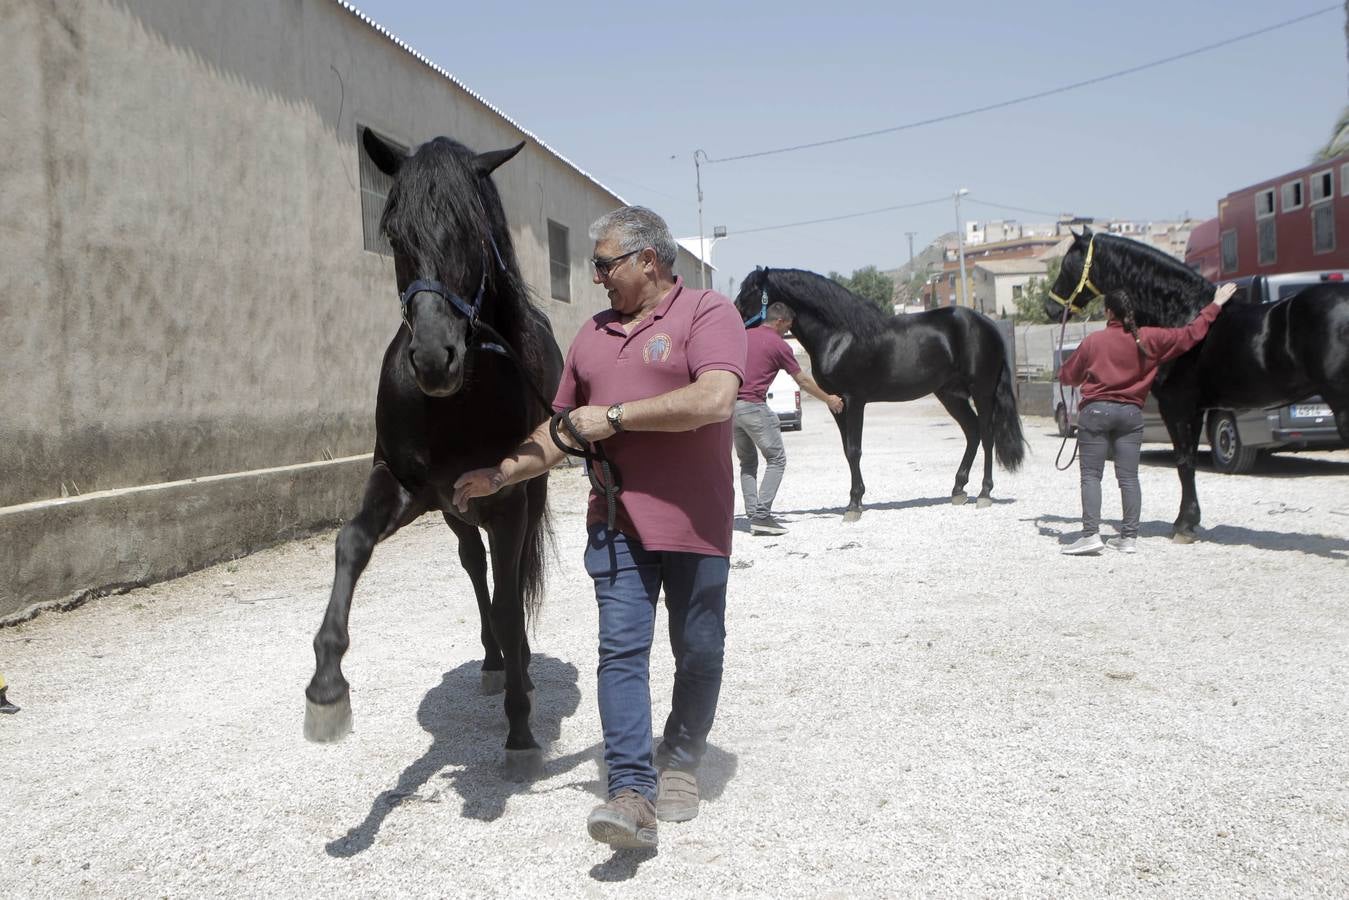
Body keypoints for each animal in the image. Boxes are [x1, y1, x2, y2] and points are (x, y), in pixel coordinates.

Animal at [303, 132, 561, 777]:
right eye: (395, 233)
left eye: (472, 231)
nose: (432, 359)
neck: (456, 403)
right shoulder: (402, 485)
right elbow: (352, 543)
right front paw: (327, 687)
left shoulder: (509, 498)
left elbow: (510, 600)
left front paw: (520, 729)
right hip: (452, 510)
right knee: (474, 565)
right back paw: (494, 660)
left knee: (508, 582)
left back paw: (517, 667)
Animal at [733, 267, 1025, 518]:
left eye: (749, 291)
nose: (734, 317)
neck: (839, 336)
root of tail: (986, 324)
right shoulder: (836, 404)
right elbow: (847, 450)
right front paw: (857, 498)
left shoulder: (854, 400)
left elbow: (854, 450)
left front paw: (853, 505)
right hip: (950, 395)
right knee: (973, 431)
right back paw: (958, 490)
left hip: (982, 391)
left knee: (987, 435)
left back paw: (984, 492)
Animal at [1046, 230, 1349, 542]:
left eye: (1067, 266)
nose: (1050, 308)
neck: (1182, 312)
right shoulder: (1195, 409)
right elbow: (1188, 460)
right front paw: (1190, 521)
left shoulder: (1176, 406)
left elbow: (1184, 462)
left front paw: (1183, 525)